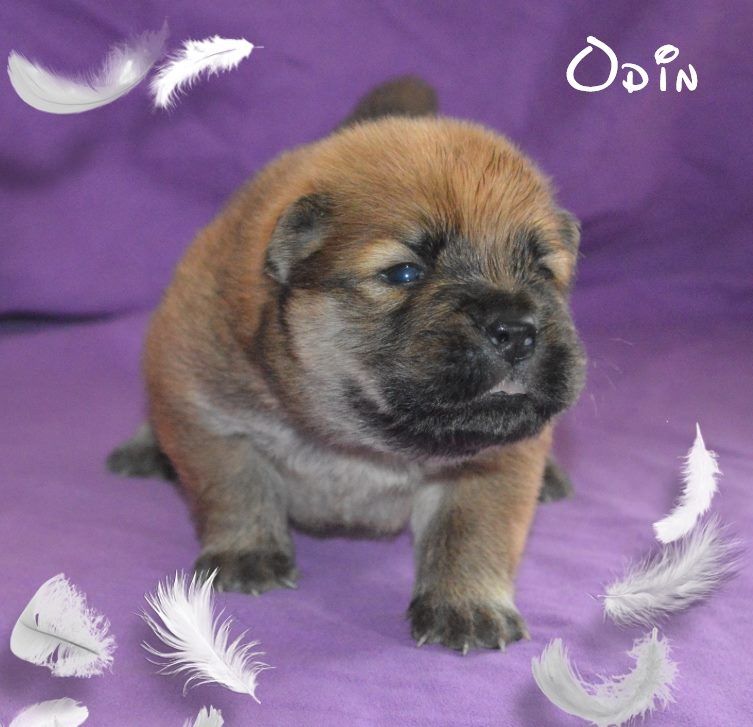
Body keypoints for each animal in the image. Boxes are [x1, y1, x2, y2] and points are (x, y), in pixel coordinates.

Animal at [108, 77, 585, 653]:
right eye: (404, 273)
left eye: (543, 271)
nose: (516, 330)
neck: (360, 440)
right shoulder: (201, 407)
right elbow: (234, 486)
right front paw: (247, 551)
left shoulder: (497, 464)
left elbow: (472, 532)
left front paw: (466, 603)